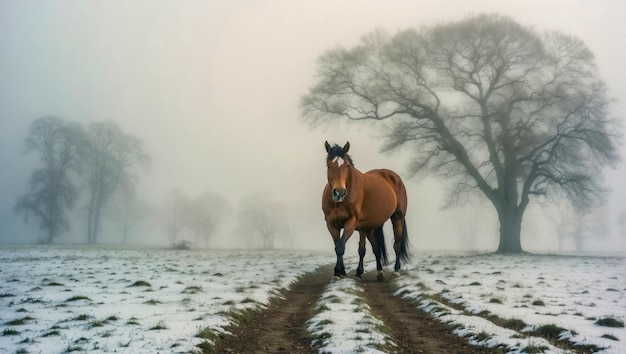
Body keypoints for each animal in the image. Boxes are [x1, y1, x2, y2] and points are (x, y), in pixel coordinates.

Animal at [322, 140, 410, 280]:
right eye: (329, 166)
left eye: (347, 165)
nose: (339, 193)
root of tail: (393, 177)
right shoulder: (331, 224)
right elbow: (338, 246)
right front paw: (340, 272)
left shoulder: (351, 222)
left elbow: (341, 247)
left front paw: (338, 271)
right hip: (370, 227)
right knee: (376, 247)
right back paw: (378, 271)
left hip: (398, 218)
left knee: (397, 244)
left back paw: (396, 270)